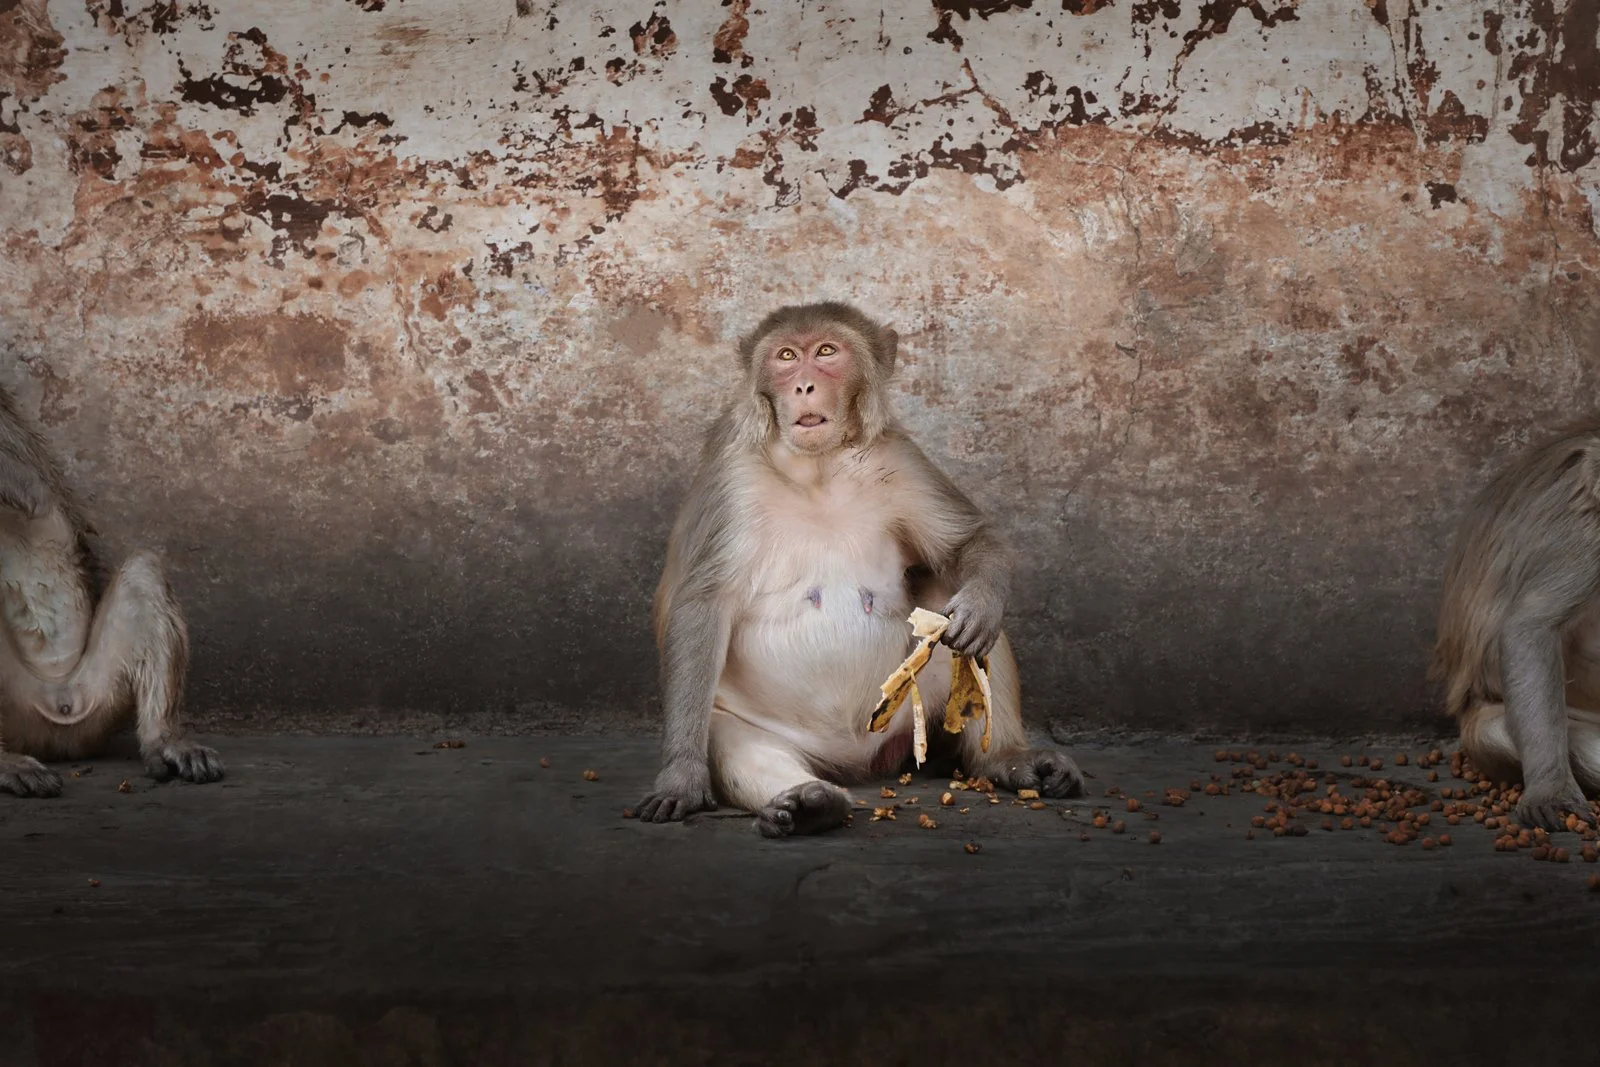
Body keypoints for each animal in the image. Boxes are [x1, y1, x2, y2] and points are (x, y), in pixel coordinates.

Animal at [636, 301, 1084, 837]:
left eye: (827, 351)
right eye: (786, 357)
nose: (803, 386)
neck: (817, 469)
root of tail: (852, 762)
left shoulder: (900, 459)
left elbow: (968, 545)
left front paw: (980, 605)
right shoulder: (731, 478)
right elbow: (702, 605)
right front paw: (681, 776)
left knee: (949, 607)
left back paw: (1004, 759)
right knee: (736, 744)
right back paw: (809, 801)